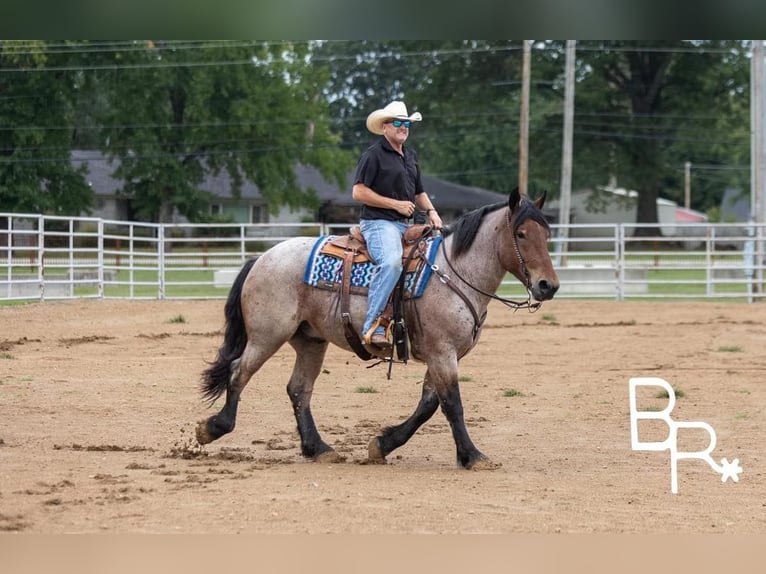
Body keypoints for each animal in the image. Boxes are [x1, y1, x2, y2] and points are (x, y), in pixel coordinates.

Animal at [195, 189, 560, 472]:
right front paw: (472, 456)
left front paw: (383, 444)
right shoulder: (443, 353)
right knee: (239, 372)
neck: (455, 272)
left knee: (298, 390)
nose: (549, 286)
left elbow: (428, 405)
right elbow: (452, 405)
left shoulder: (442, 355)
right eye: (521, 234)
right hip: (267, 335)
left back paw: (318, 448)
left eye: (547, 234)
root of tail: (261, 258)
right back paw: (212, 428)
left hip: (311, 341)